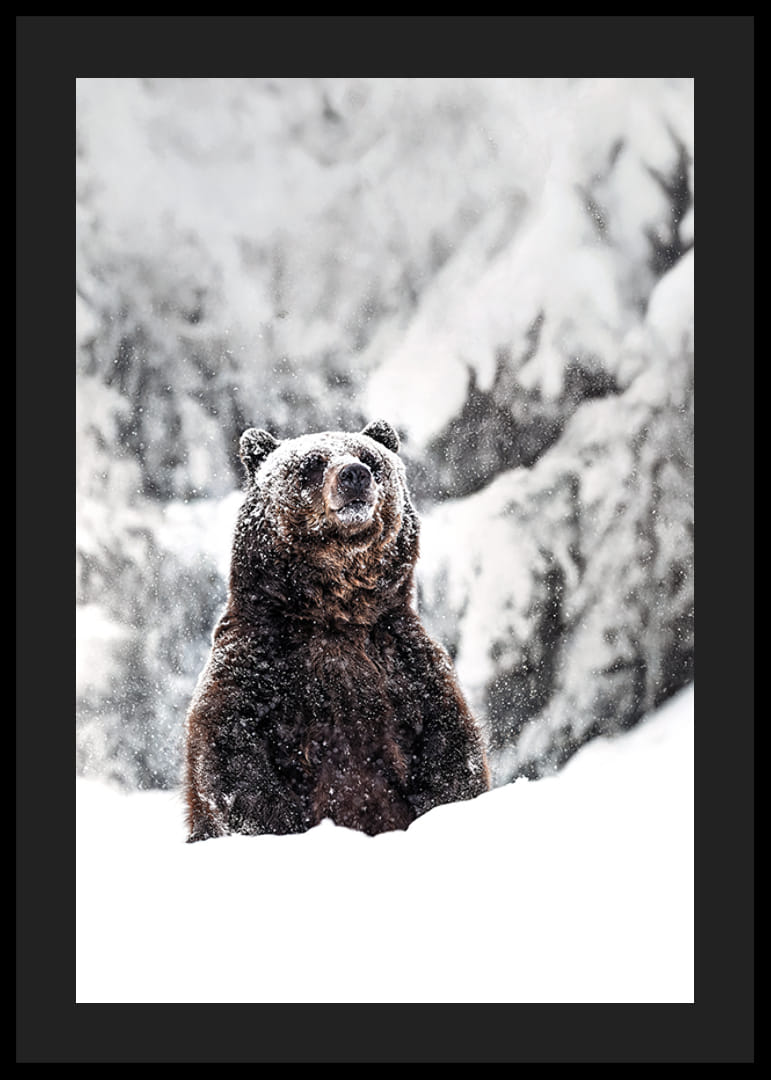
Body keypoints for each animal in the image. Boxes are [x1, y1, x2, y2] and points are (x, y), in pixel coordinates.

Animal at [183, 418, 489, 841]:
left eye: (369, 458)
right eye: (312, 463)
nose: (354, 475)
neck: (337, 613)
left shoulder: (405, 665)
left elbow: (450, 750)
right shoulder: (260, 661)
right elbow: (233, 758)